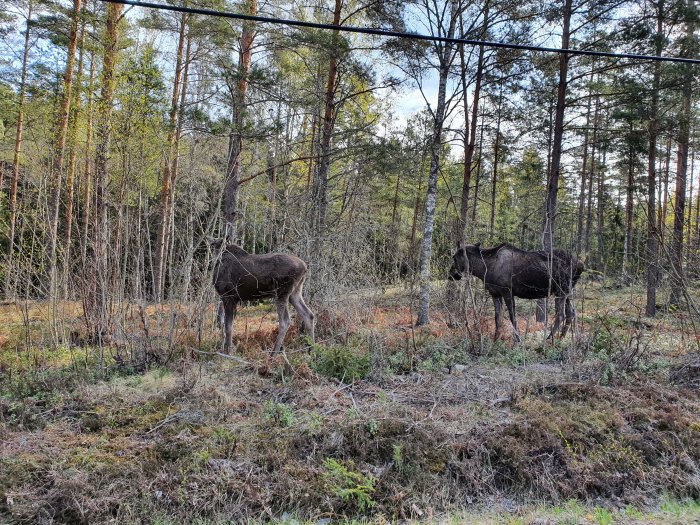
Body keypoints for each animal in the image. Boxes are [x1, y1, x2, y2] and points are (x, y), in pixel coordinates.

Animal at [448, 241, 584, 340]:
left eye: (454, 257)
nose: (451, 274)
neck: (483, 270)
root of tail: (581, 266)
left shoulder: (507, 292)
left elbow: (512, 317)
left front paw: (518, 339)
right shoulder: (495, 293)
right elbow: (497, 318)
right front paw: (496, 338)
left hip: (561, 290)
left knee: (561, 314)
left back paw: (549, 339)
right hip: (567, 292)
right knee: (572, 312)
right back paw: (561, 338)